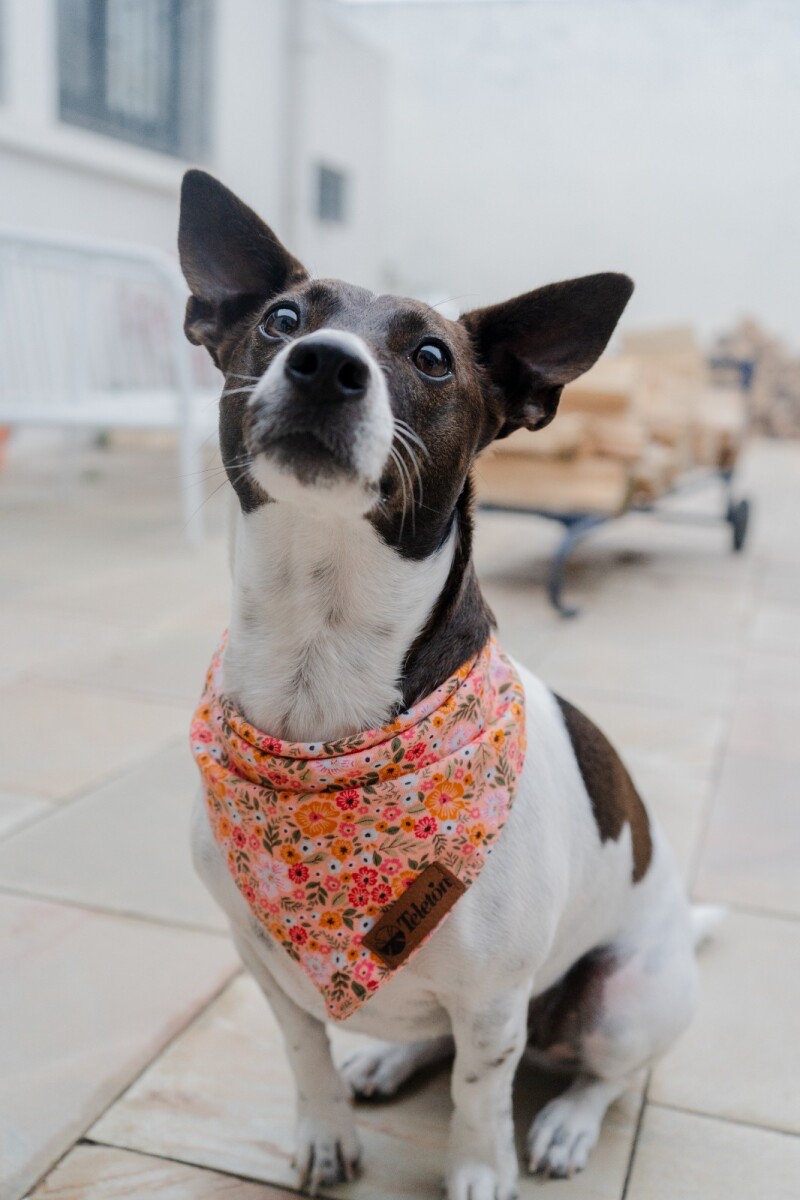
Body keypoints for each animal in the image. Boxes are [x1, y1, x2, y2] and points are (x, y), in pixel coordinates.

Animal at [179, 171, 714, 1200]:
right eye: (280, 320)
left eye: (430, 357)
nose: (323, 364)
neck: (320, 664)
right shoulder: (259, 962)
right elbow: (305, 1053)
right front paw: (325, 1134)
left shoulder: (496, 995)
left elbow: (478, 1093)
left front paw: (477, 1170)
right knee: (436, 1043)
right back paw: (388, 1060)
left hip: (624, 998)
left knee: (604, 1074)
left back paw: (564, 1126)